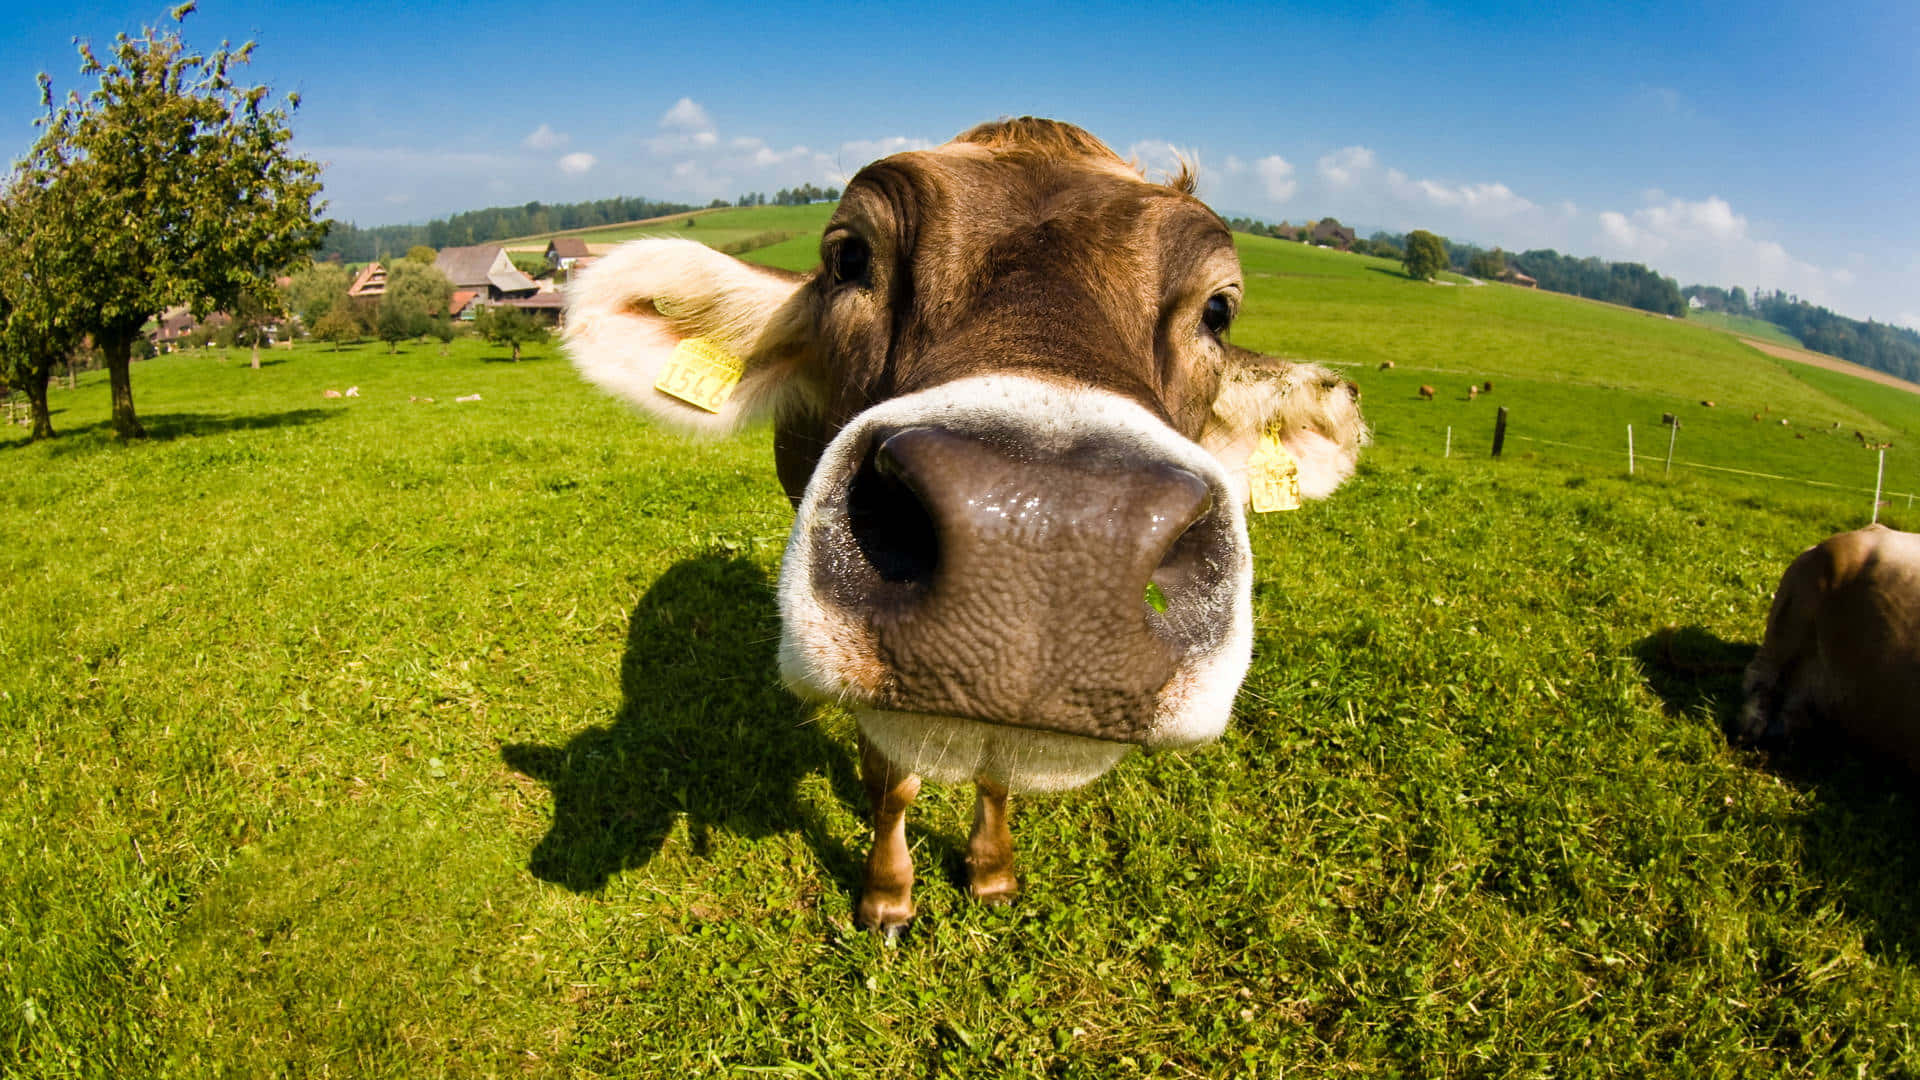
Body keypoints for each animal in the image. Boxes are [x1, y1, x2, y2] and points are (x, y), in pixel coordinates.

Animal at [564, 118, 1367, 933]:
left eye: (1218, 310)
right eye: (849, 256)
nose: (1048, 532)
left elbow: (997, 774)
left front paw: (991, 870)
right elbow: (891, 780)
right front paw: (887, 894)